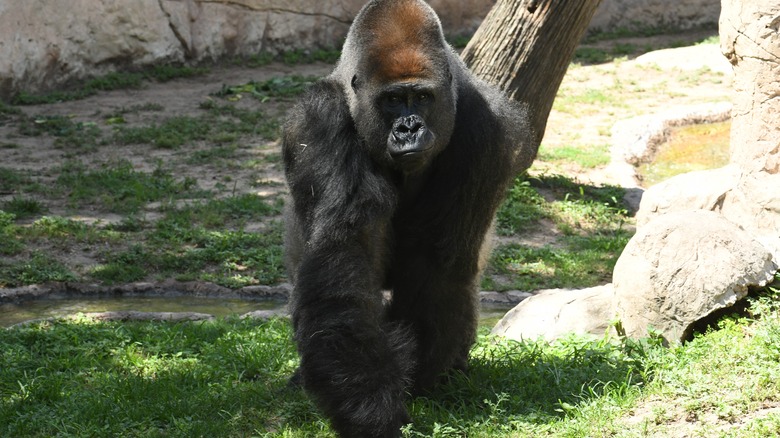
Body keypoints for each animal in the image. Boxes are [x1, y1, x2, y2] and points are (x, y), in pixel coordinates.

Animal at [284, 0, 532, 434]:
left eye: (421, 97)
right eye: (393, 100)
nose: (409, 129)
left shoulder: (484, 127)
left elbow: (435, 263)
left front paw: (417, 383)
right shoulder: (321, 119)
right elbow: (344, 251)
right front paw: (367, 405)